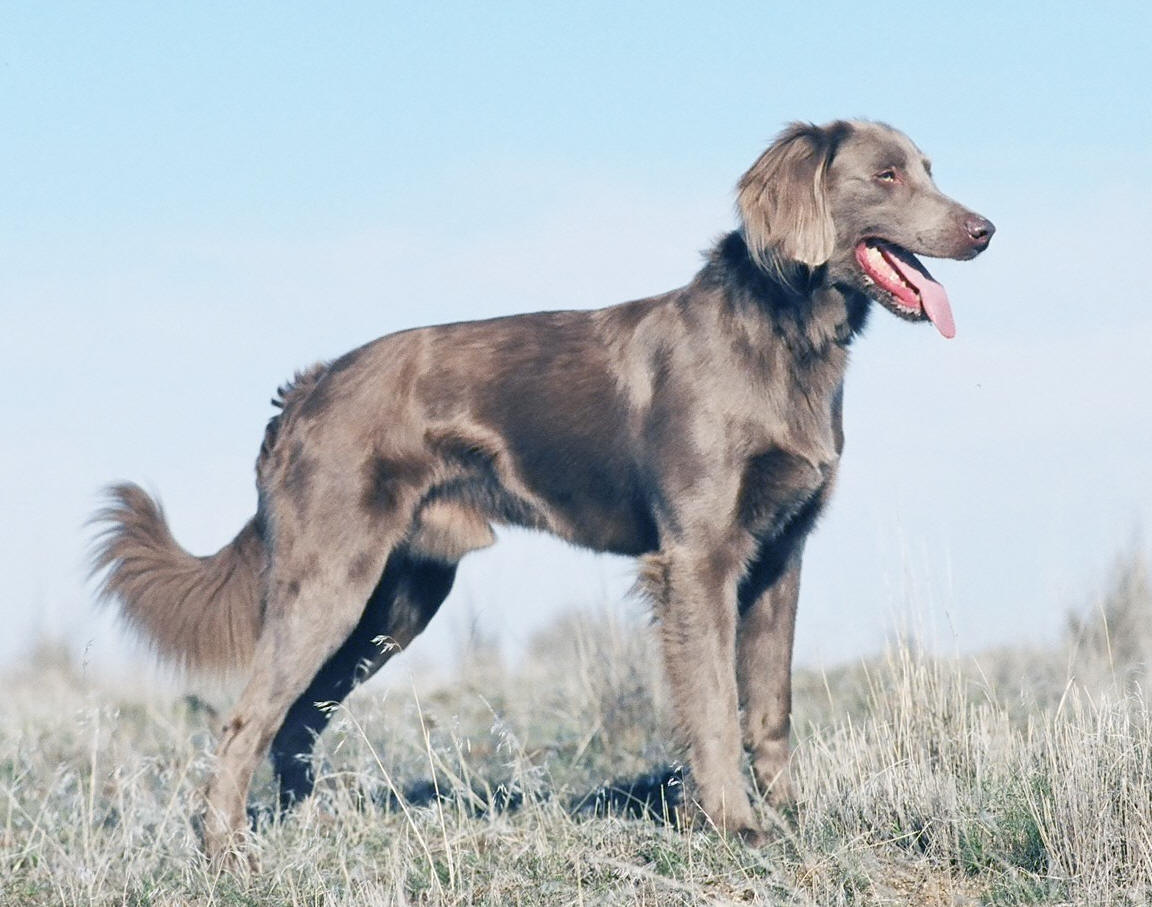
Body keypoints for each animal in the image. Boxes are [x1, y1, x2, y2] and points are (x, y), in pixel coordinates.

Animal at [92, 118, 990, 857]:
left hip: (396, 600)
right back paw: (225, 851)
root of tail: (306, 389)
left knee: (297, 719)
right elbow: (713, 704)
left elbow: (769, 708)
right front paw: (736, 825)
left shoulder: (780, 553)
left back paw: (306, 832)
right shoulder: (697, 559)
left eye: (928, 169)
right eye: (885, 176)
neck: (780, 333)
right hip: (330, 583)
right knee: (248, 717)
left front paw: (794, 818)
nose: (986, 230)